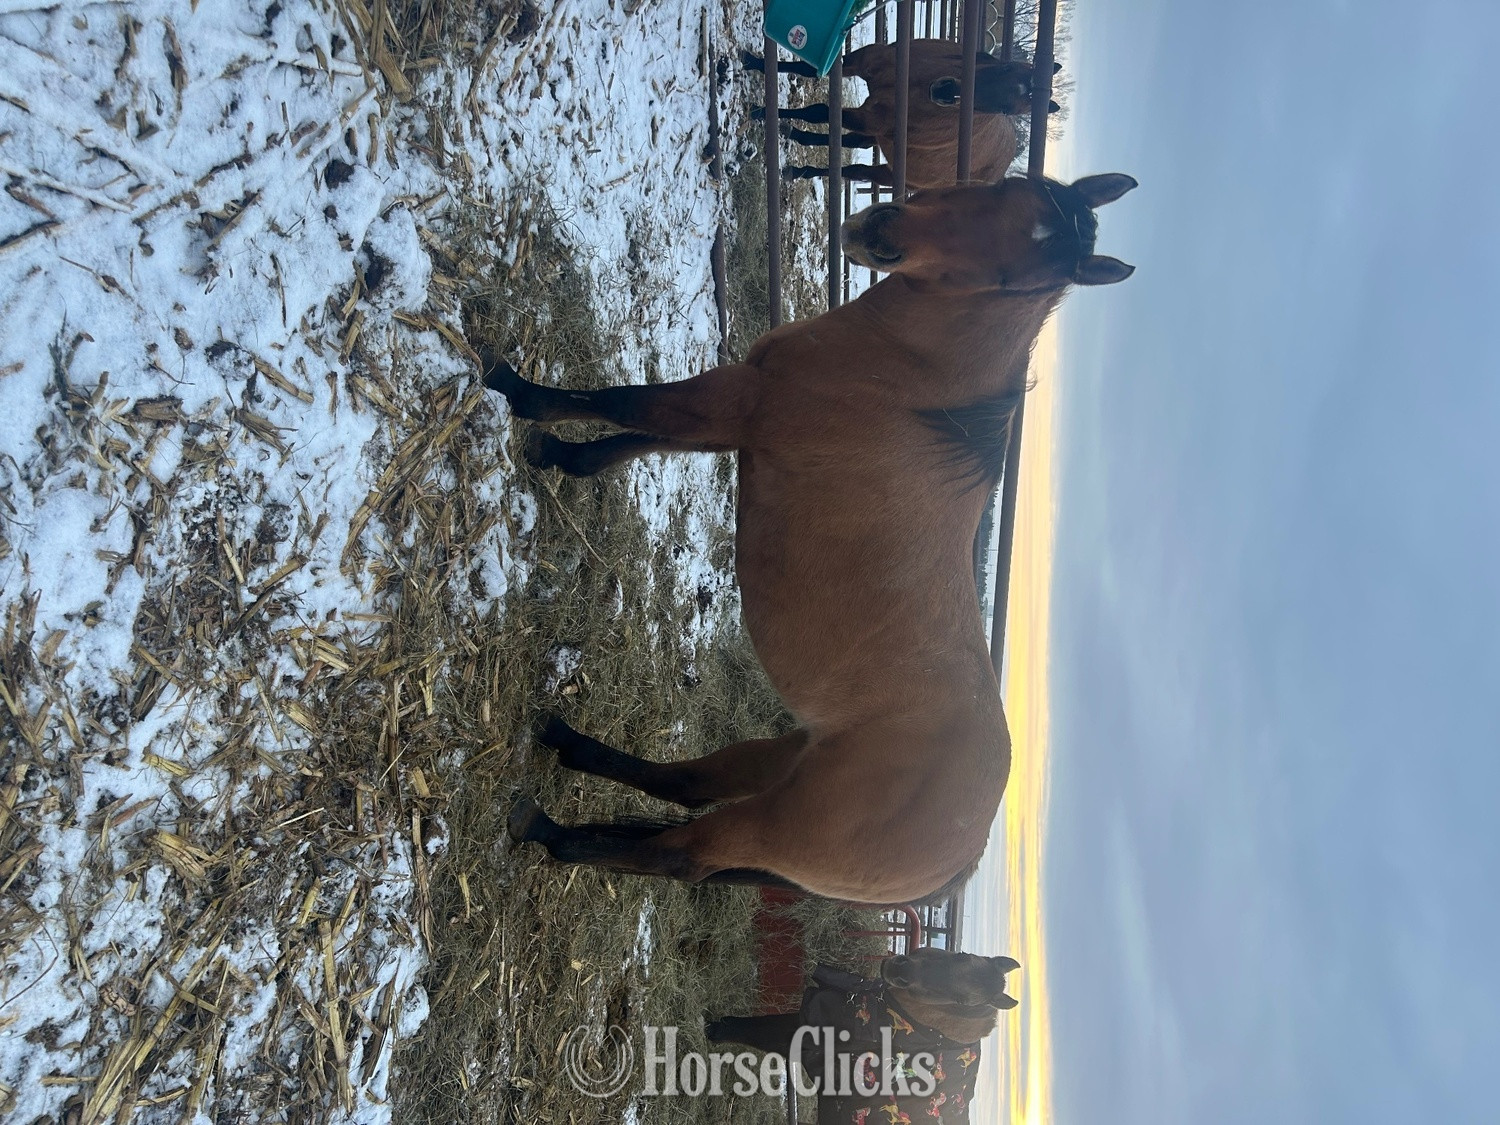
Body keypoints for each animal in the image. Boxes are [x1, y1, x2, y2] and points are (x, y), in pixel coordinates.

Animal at [493, 171, 1136, 904]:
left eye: (1011, 279)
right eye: (1003, 186)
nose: (882, 231)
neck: (910, 382)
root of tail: (960, 858)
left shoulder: (734, 402)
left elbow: (622, 404)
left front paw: (516, 392)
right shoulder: (734, 422)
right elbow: (626, 443)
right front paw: (557, 453)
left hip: (772, 824)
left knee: (680, 855)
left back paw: (545, 828)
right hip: (783, 758)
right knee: (687, 786)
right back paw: (565, 742)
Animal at [706, 948, 1021, 1122]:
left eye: (963, 1001)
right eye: (962, 955)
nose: (901, 969)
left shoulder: (811, 1029)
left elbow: (754, 1030)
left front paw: (713, 1029)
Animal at [745, 41, 1061, 189]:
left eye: (1005, 109)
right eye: (1004, 66)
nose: (946, 92)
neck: (915, 86)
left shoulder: (870, 119)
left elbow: (818, 111)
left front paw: (761, 112)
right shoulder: (861, 61)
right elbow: (808, 70)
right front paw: (753, 62)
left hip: (890, 170)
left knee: (854, 170)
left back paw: (799, 167)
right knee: (851, 147)